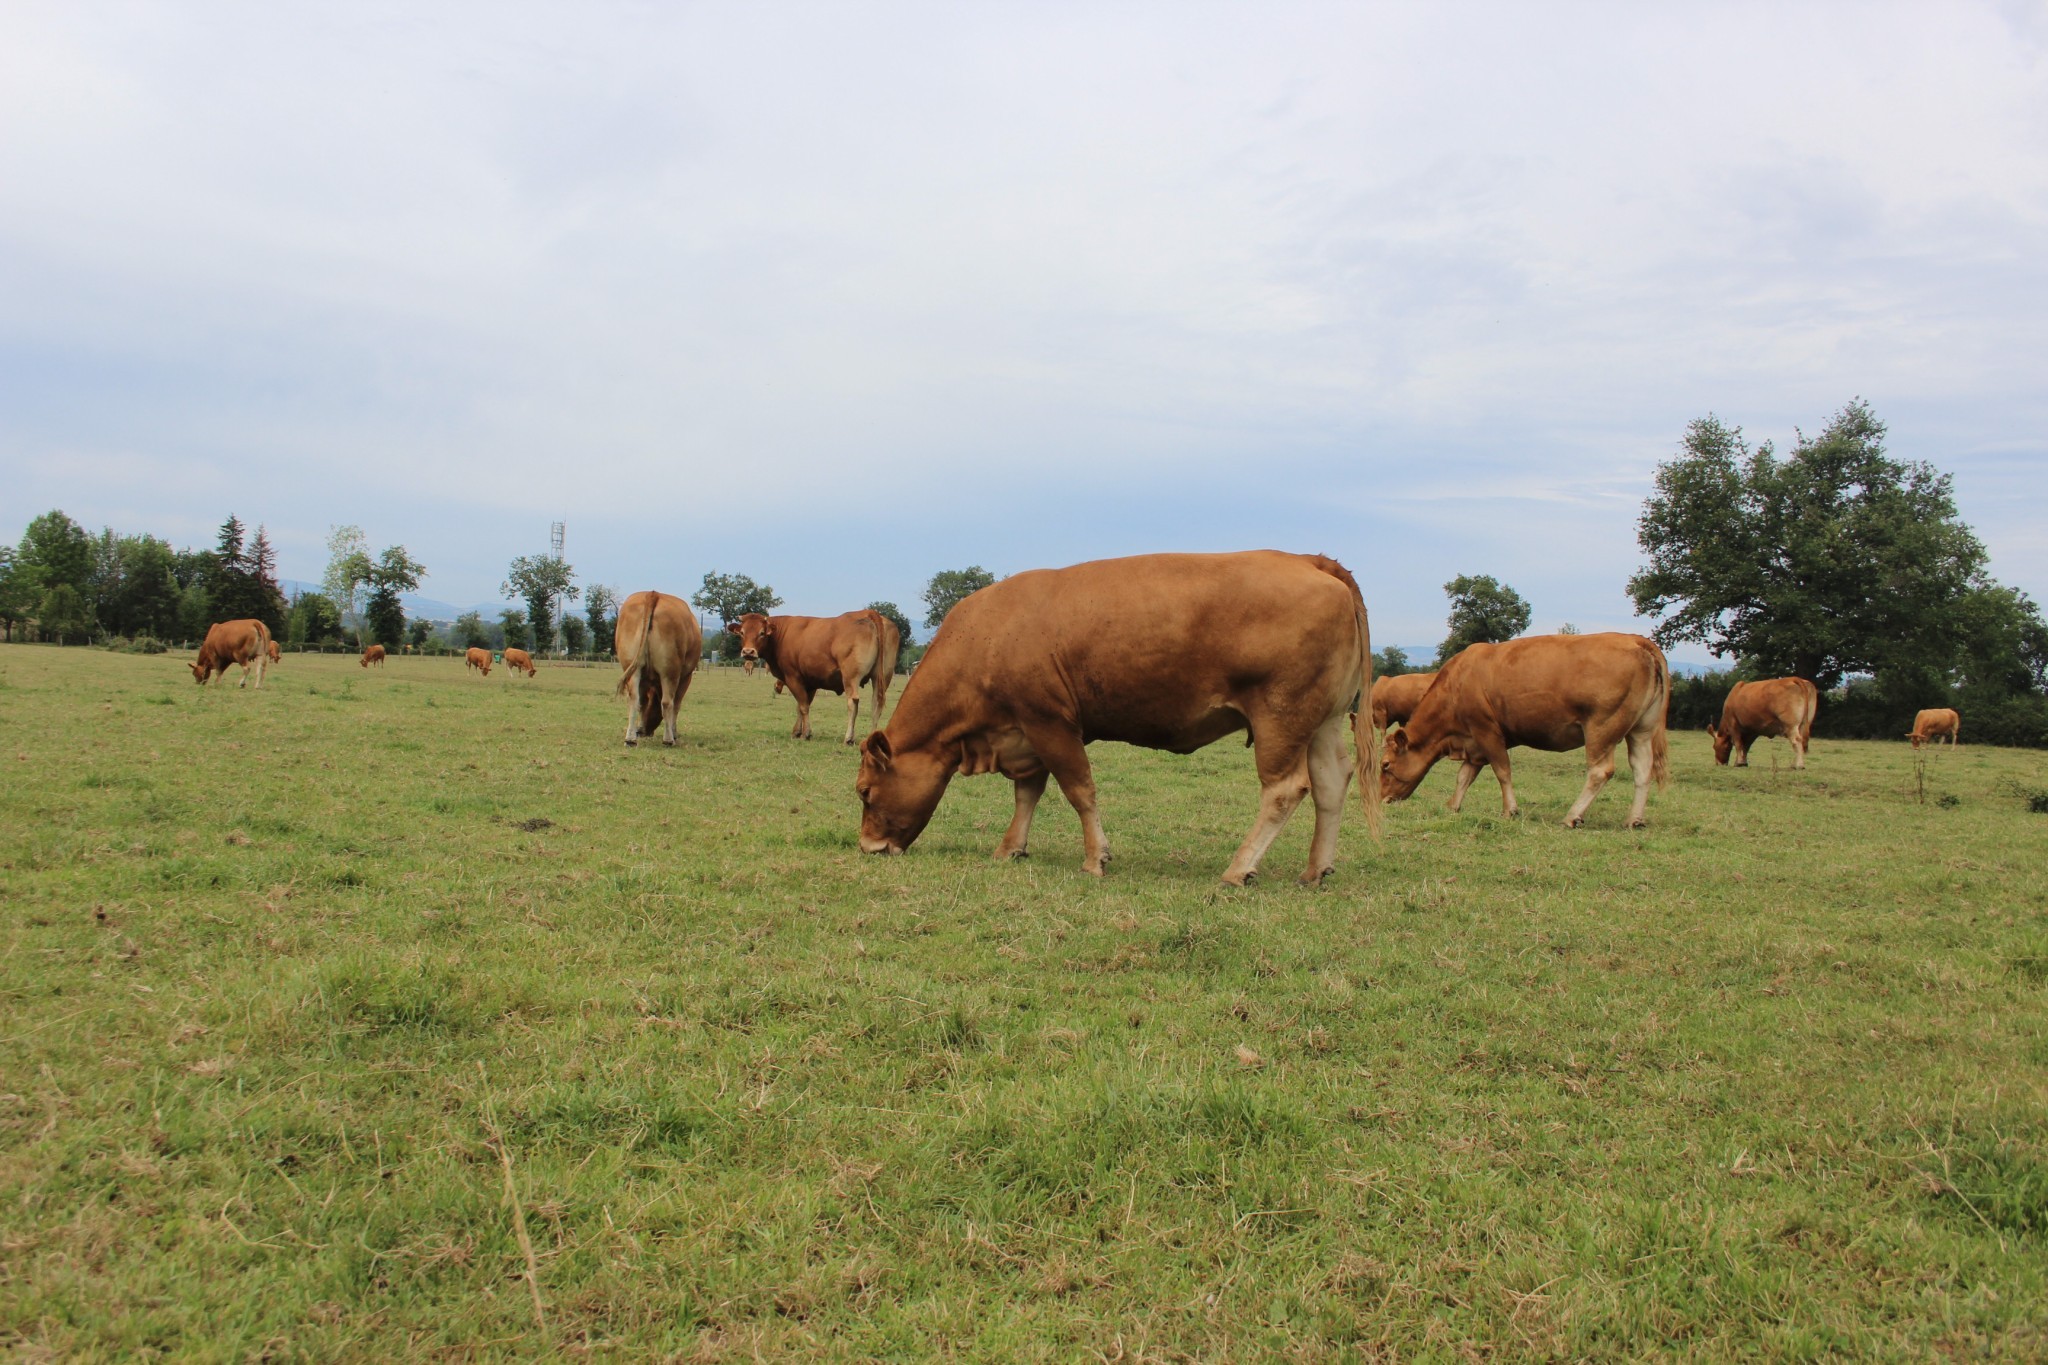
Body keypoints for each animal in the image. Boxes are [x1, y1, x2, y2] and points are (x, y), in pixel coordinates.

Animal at [610, 593, 700, 749]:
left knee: (634, 699)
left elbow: (643, 702)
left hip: (633, 669)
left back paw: (630, 739)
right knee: (668, 703)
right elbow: (676, 705)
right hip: (670, 672)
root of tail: (653, 594)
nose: (644, 732)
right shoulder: (686, 677)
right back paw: (668, 740)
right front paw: (674, 733)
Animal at [733, 609, 901, 749]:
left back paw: (848, 738)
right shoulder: (810, 682)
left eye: (762, 633)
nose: (748, 652)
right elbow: (801, 706)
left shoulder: (793, 677)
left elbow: (803, 706)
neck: (781, 635)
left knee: (853, 702)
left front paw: (805, 734)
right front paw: (797, 731)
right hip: (882, 677)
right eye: (741, 632)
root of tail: (869, 612)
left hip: (850, 677)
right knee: (876, 703)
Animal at [847, 552, 1376, 888]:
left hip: (1280, 718)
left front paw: (1094, 860)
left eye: (865, 791)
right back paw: (1314, 871)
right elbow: (1027, 794)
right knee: (1332, 784)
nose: (868, 847)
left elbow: (1079, 790)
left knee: (1284, 790)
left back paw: (1238, 869)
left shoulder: (1051, 723)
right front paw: (1010, 848)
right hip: (1323, 721)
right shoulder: (1025, 733)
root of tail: (1306, 559)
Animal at [1384, 634, 1671, 834]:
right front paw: (1453, 805)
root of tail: (1637, 640)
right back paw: (1634, 819)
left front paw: (1509, 810)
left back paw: (1572, 816)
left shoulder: (1486, 730)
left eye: (1385, 765)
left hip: (1601, 727)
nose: (1381, 798)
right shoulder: (1474, 743)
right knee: (1642, 770)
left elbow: (1502, 771)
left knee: (1600, 771)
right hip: (1641, 730)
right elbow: (1464, 776)